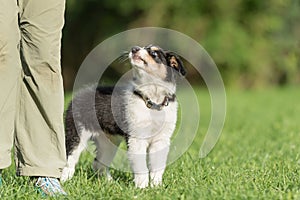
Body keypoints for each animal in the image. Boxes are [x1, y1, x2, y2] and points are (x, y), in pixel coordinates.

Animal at [61, 44, 185, 188]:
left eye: (154, 53)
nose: (134, 48)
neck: (152, 101)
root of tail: (80, 93)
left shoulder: (161, 140)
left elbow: (157, 167)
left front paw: (156, 186)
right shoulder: (136, 139)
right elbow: (141, 167)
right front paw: (142, 187)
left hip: (108, 142)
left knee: (98, 164)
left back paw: (110, 183)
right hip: (77, 134)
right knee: (69, 161)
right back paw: (64, 182)